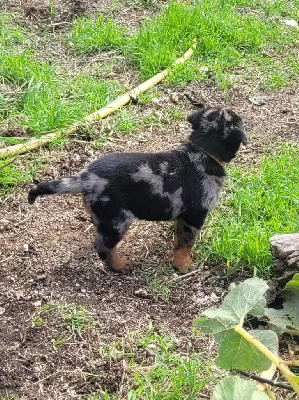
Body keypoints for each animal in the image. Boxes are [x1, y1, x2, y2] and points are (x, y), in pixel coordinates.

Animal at [28, 106, 248, 274]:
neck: (202, 151)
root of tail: (86, 177)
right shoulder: (195, 216)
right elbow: (185, 244)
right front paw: (184, 266)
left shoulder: (184, 217)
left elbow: (178, 239)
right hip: (118, 219)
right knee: (103, 246)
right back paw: (120, 266)